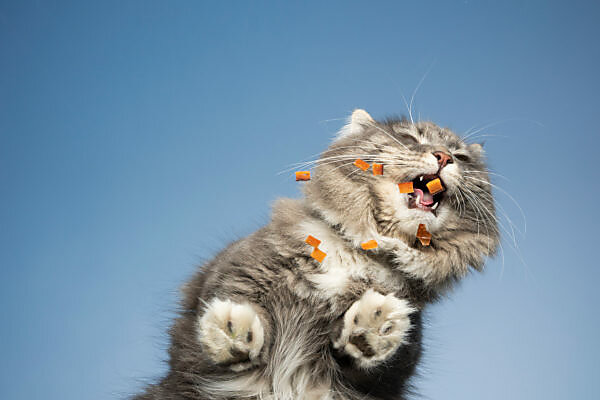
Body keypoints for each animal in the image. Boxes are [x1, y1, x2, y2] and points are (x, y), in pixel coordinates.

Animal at [134, 109, 500, 400]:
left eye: (461, 157)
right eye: (410, 138)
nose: (443, 156)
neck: (358, 252)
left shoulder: (394, 363)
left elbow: (381, 352)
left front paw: (374, 325)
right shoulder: (236, 273)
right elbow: (237, 307)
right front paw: (232, 329)